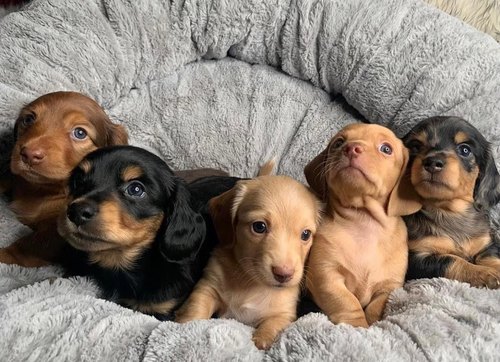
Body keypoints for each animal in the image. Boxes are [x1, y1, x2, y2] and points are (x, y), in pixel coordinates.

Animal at [0, 90, 129, 266]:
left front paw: (3, 254)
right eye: (28, 119)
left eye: (80, 133)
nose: (29, 154)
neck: (42, 190)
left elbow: (25, 246)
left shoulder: (59, 233)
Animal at [176, 166, 320, 348]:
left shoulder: (284, 313)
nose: (284, 274)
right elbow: (196, 307)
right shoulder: (208, 286)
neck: (253, 282)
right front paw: (184, 325)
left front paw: (262, 340)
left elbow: (272, 325)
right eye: (259, 227)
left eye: (306, 234)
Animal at [304, 123, 422, 328]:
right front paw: (358, 326)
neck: (363, 222)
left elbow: (376, 307)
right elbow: (347, 302)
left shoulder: (388, 286)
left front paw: (373, 323)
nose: (351, 148)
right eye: (338, 142)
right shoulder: (325, 276)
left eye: (386, 149)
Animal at [402, 116, 500, 288]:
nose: (433, 162)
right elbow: (451, 260)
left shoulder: (487, 244)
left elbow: (492, 257)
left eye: (465, 150)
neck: (449, 212)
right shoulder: (416, 258)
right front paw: (485, 273)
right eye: (416, 146)